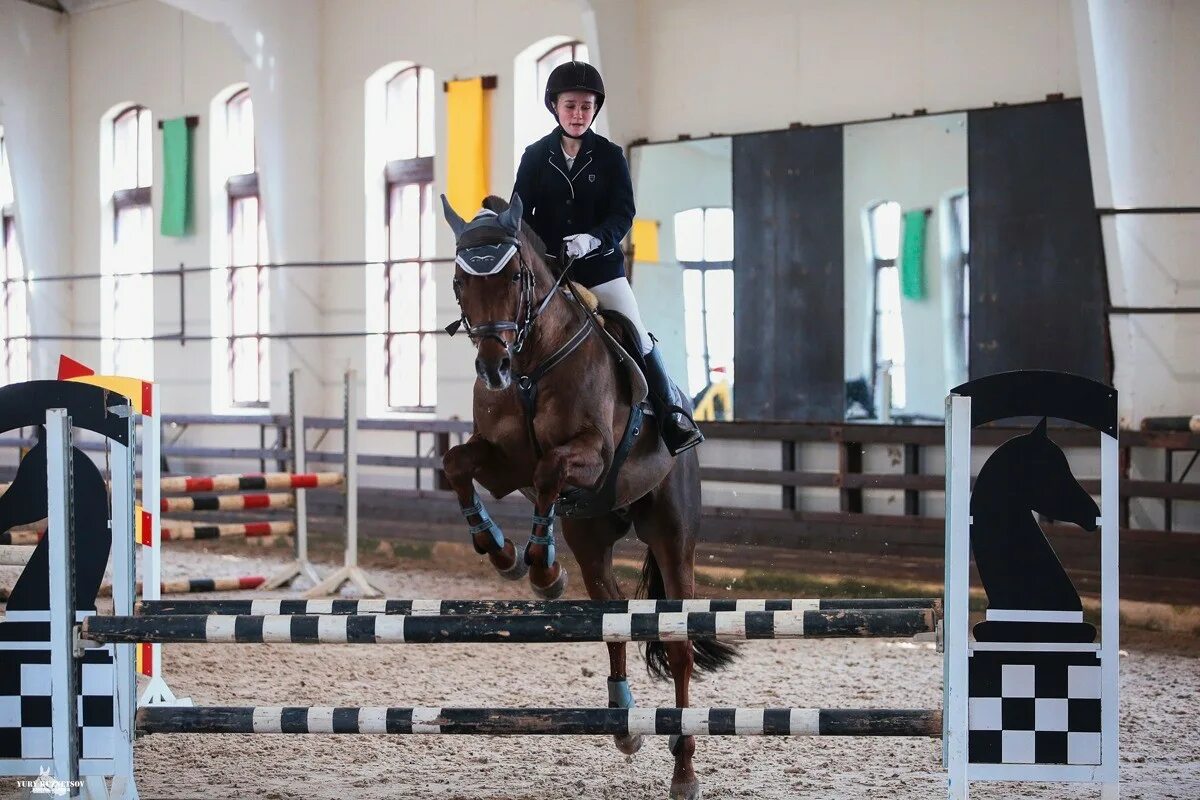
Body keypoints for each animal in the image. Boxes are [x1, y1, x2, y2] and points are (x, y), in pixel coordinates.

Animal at [441, 195, 734, 800]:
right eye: (460, 281)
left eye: (516, 277)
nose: (492, 368)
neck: (532, 364)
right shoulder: (502, 463)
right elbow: (457, 464)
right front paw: (504, 553)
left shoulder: (588, 456)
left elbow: (551, 471)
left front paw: (542, 569)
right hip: (593, 537)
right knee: (614, 620)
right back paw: (624, 726)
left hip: (673, 535)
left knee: (679, 650)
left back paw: (684, 769)